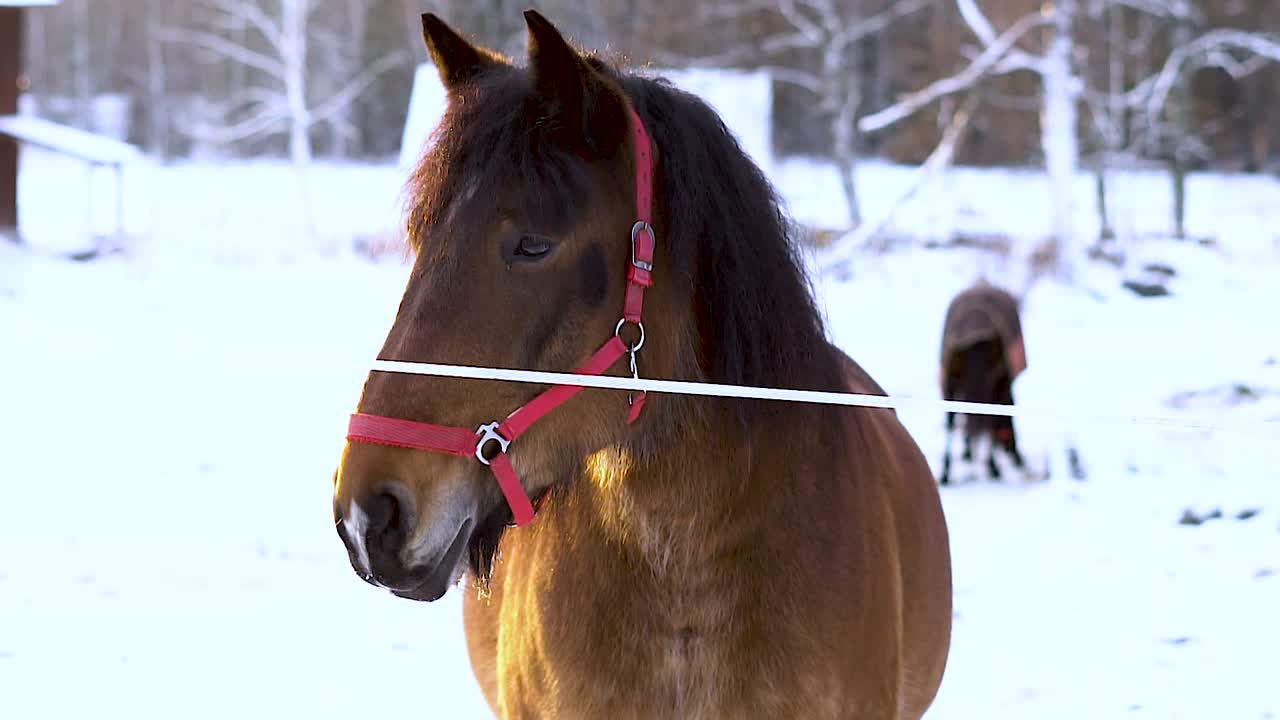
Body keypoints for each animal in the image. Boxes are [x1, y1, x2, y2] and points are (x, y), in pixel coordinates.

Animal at [937, 281, 1028, 484]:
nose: (1017, 456)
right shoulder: (1000, 386)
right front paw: (992, 466)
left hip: (950, 383)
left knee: (953, 421)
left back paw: (947, 471)